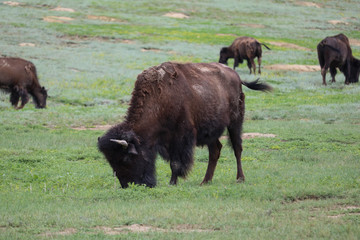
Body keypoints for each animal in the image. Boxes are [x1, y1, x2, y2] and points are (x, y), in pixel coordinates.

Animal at [97, 61, 272, 188]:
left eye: (126, 158)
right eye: (111, 162)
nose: (128, 185)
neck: (160, 99)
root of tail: (236, 76)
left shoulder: (180, 137)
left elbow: (176, 163)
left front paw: (172, 182)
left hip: (235, 122)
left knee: (237, 148)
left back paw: (240, 178)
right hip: (211, 132)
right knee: (215, 150)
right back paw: (205, 181)